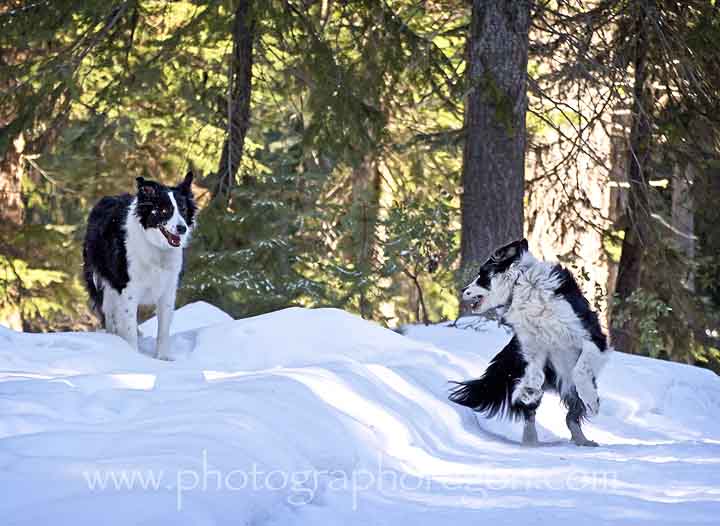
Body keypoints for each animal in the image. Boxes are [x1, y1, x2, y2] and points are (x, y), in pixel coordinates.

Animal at [83, 173, 195, 364]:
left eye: (183, 210)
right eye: (164, 210)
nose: (182, 228)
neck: (156, 248)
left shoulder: (167, 290)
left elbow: (163, 330)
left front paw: (163, 358)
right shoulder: (128, 290)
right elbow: (128, 327)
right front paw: (134, 357)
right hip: (104, 284)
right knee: (109, 314)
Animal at [452, 241, 612, 448]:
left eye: (482, 274)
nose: (462, 289)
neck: (520, 284)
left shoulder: (591, 337)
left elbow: (580, 371)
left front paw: (592, 402)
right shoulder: (533, 347)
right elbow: (535, 377)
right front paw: (527, 392)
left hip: (567, 379)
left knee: (571, 415)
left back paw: (583, 440)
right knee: (536, 414)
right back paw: (531, 440)